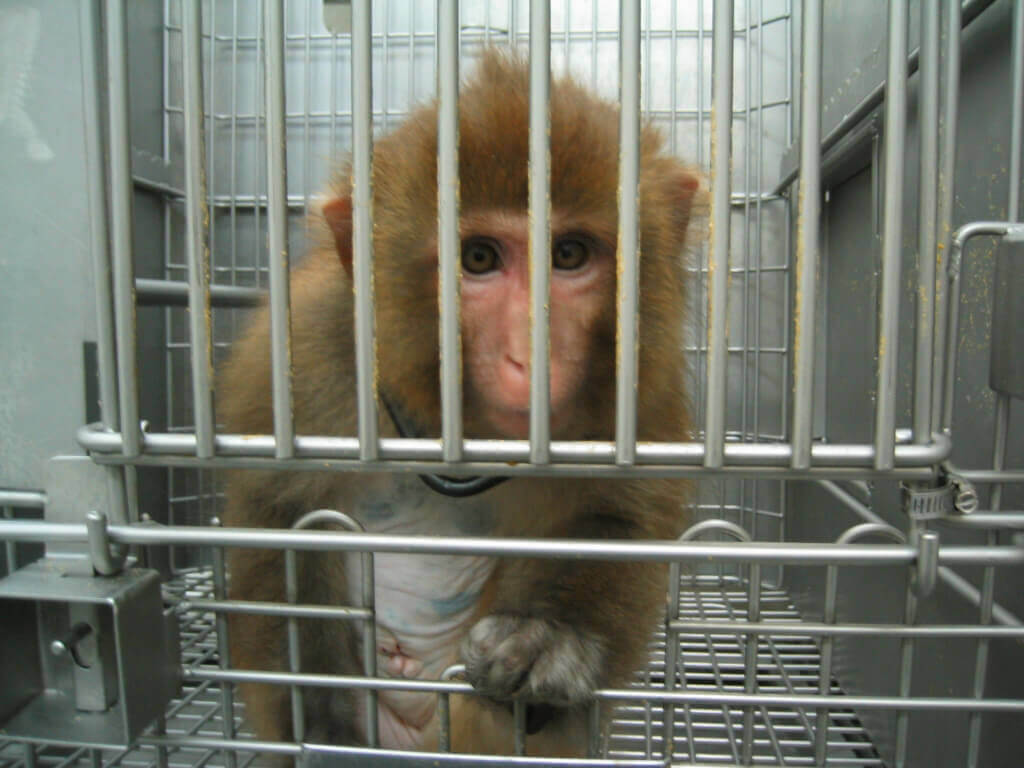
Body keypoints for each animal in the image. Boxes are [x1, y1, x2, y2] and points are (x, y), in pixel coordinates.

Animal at [222, 51, 704, 761]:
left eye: (569, 254)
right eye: (477, 257)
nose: (531, 356)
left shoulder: (642, 392)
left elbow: (620, 516)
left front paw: (550, 632)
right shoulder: (307, 355)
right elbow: (276, 515)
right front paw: (323, 721)